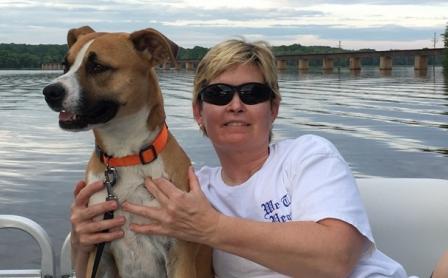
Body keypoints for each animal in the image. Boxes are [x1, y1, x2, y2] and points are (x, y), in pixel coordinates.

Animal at [41, 26, 212, 278]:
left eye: (97, 66)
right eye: (65, 65)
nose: (49, 91)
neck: (124, 156)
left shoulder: (178, 252)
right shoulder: (99, 245)